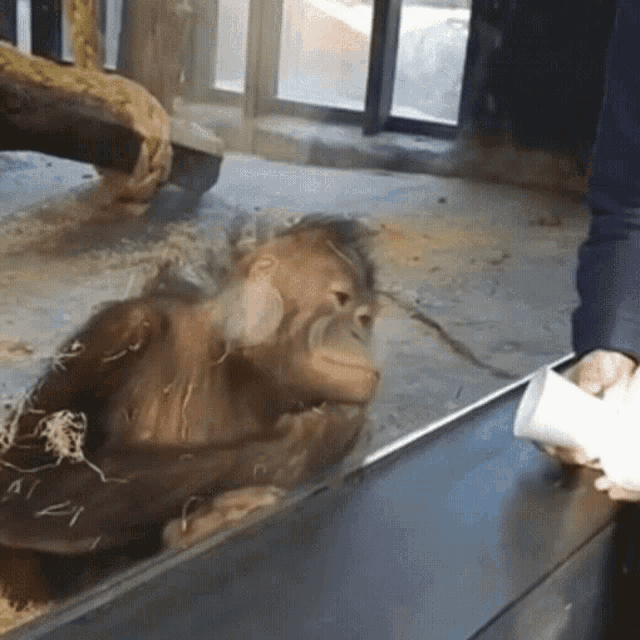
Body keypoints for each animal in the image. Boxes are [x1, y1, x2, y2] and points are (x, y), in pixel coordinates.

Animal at [0, 217, 379, 603]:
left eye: (365, 318)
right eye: (341, 299)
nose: (358, 332)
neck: (232, 361)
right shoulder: (119, 328)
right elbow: (21, 476)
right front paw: (311, 441)